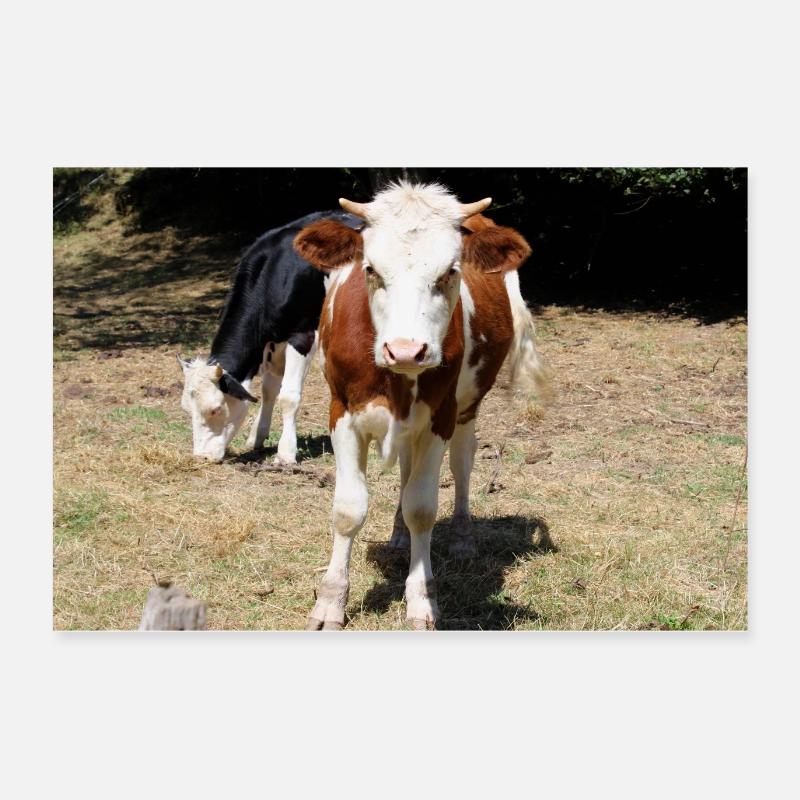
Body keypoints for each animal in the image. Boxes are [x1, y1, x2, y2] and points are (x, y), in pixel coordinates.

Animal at [178, 210, 362, 463]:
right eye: (187, 408)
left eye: (215, 409)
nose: (201, 457)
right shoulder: (271, 342)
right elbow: (269, 390)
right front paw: (257, 436)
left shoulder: (302, 336)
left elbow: (288, 396)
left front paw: (286, 453)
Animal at [293, 181, 548, 630]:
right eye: (371, 270)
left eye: (450, 271)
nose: (406, 350)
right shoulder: (341, 413)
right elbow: (348, 509)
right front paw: (330, 603)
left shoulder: (439, 417)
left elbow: (423, 508)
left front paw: (421, 600)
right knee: (406, 471)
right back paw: (397, 536)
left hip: (466, 407)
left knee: (462, 464)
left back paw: (462, 538)